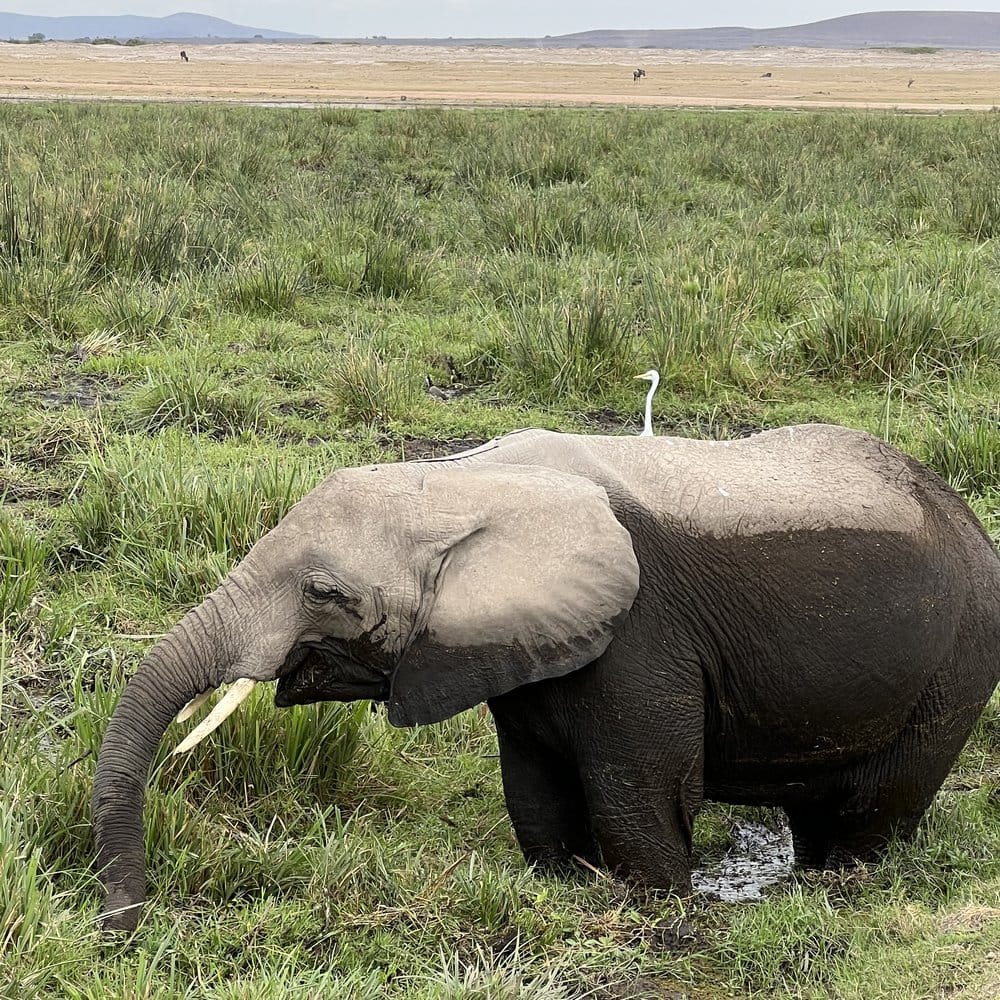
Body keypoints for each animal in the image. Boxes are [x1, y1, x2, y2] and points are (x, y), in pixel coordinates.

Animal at [93, 424, 1000, 931]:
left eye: (323, 593)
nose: (124, 929)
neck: (462, 479)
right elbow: (532, 788)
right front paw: (563, 884)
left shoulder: (641, 636)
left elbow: (642, 795)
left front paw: (662, 908)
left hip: (959, 658)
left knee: (879, 807)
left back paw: (844, 885)